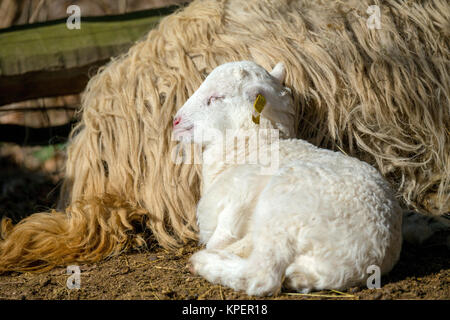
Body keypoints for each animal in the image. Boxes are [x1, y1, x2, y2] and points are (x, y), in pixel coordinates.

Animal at [173, 60, 404, 296]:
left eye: (216, 97)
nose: (176, 121)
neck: (254, 147)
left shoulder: (238, 197)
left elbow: (221, 236)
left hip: (282, 212)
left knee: (262, 274)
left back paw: (204, 262)